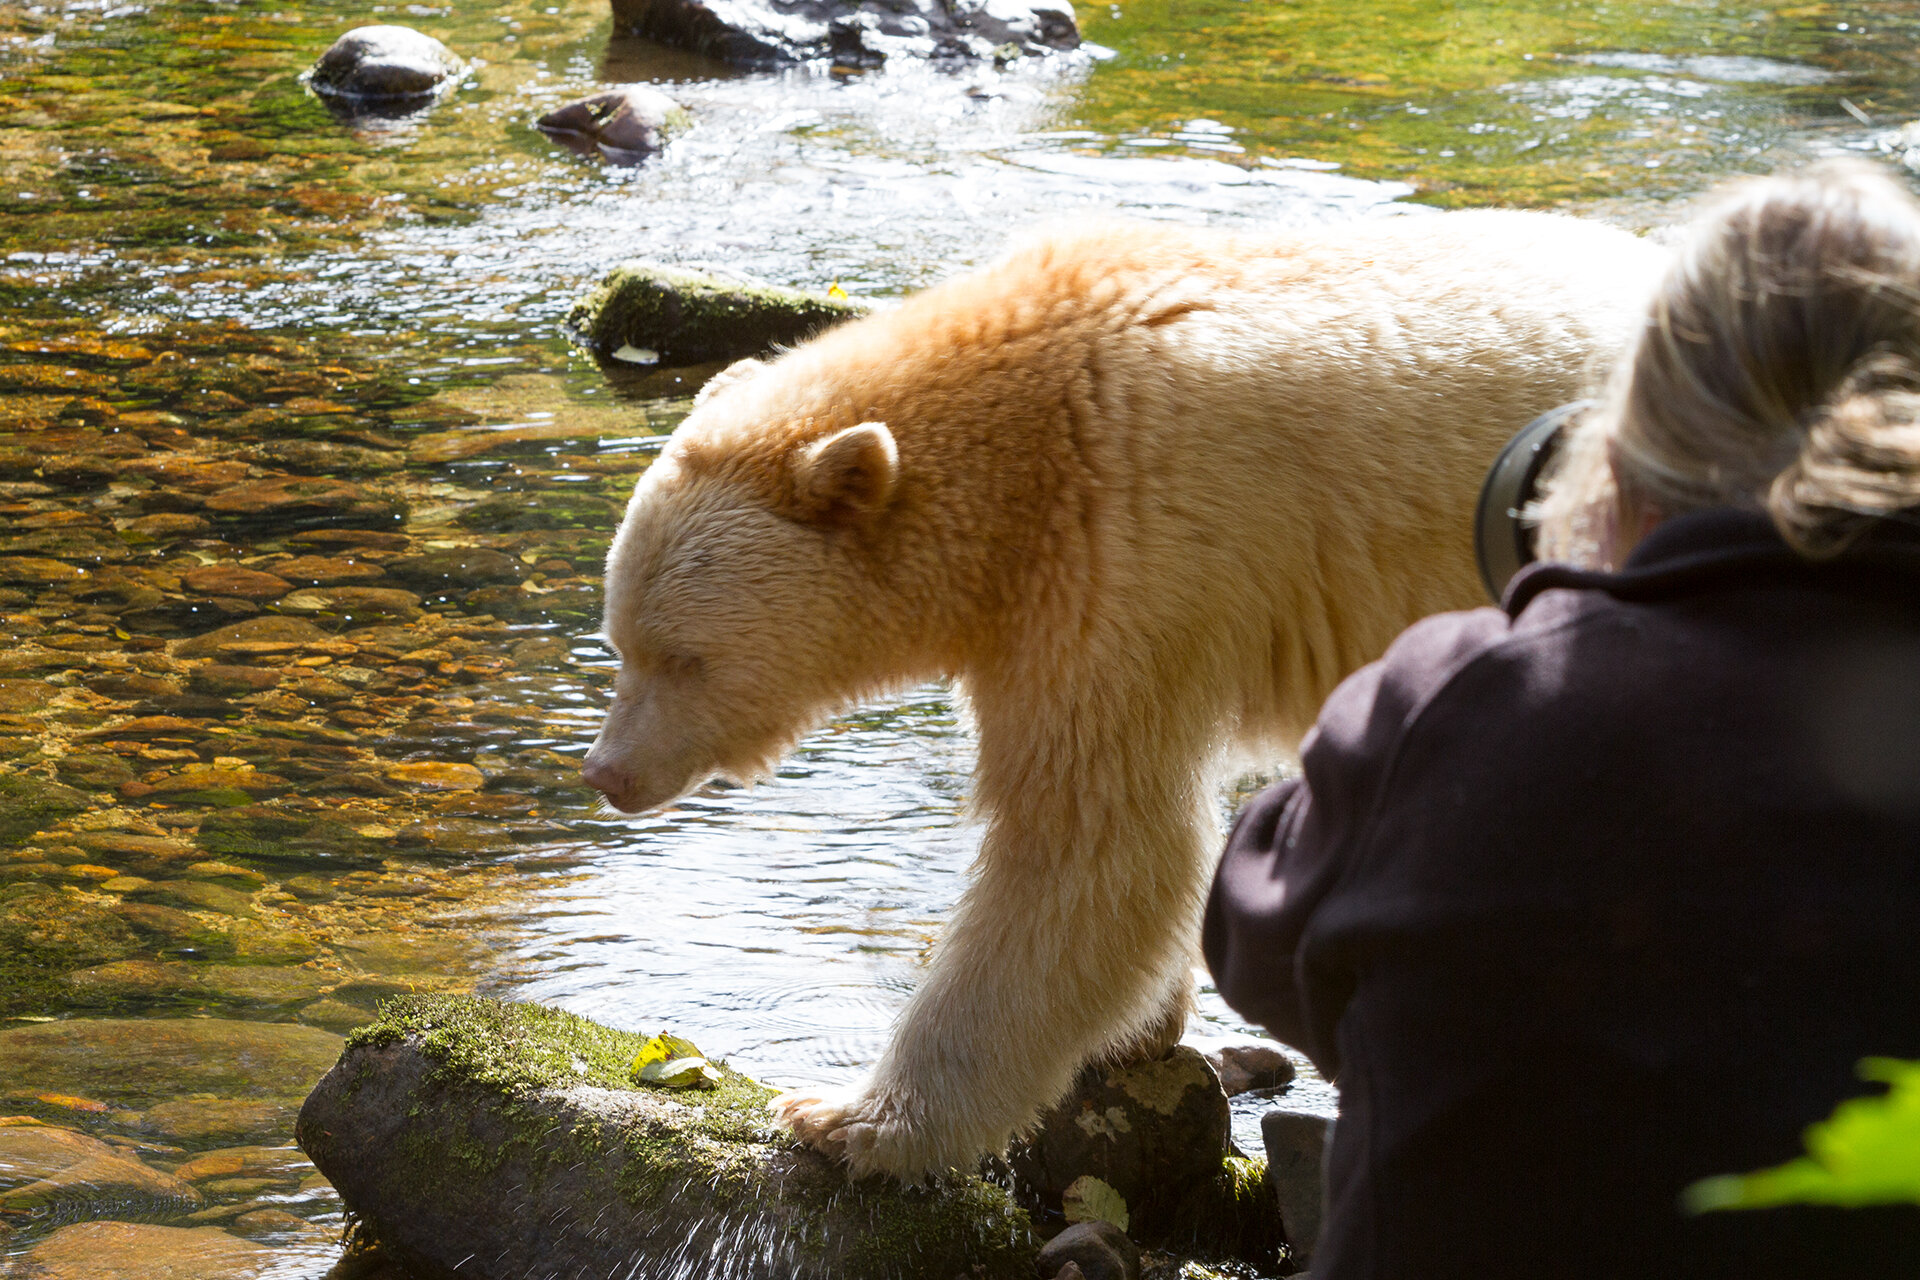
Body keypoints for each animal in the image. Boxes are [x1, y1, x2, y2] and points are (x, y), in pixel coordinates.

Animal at [579, 210, 1666, 1182]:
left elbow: (1089, 840)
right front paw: (1144, 1024)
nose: (607, 773)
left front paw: (849, 1120)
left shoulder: (1122, 545)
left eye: (685, 658)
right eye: (618, 640)